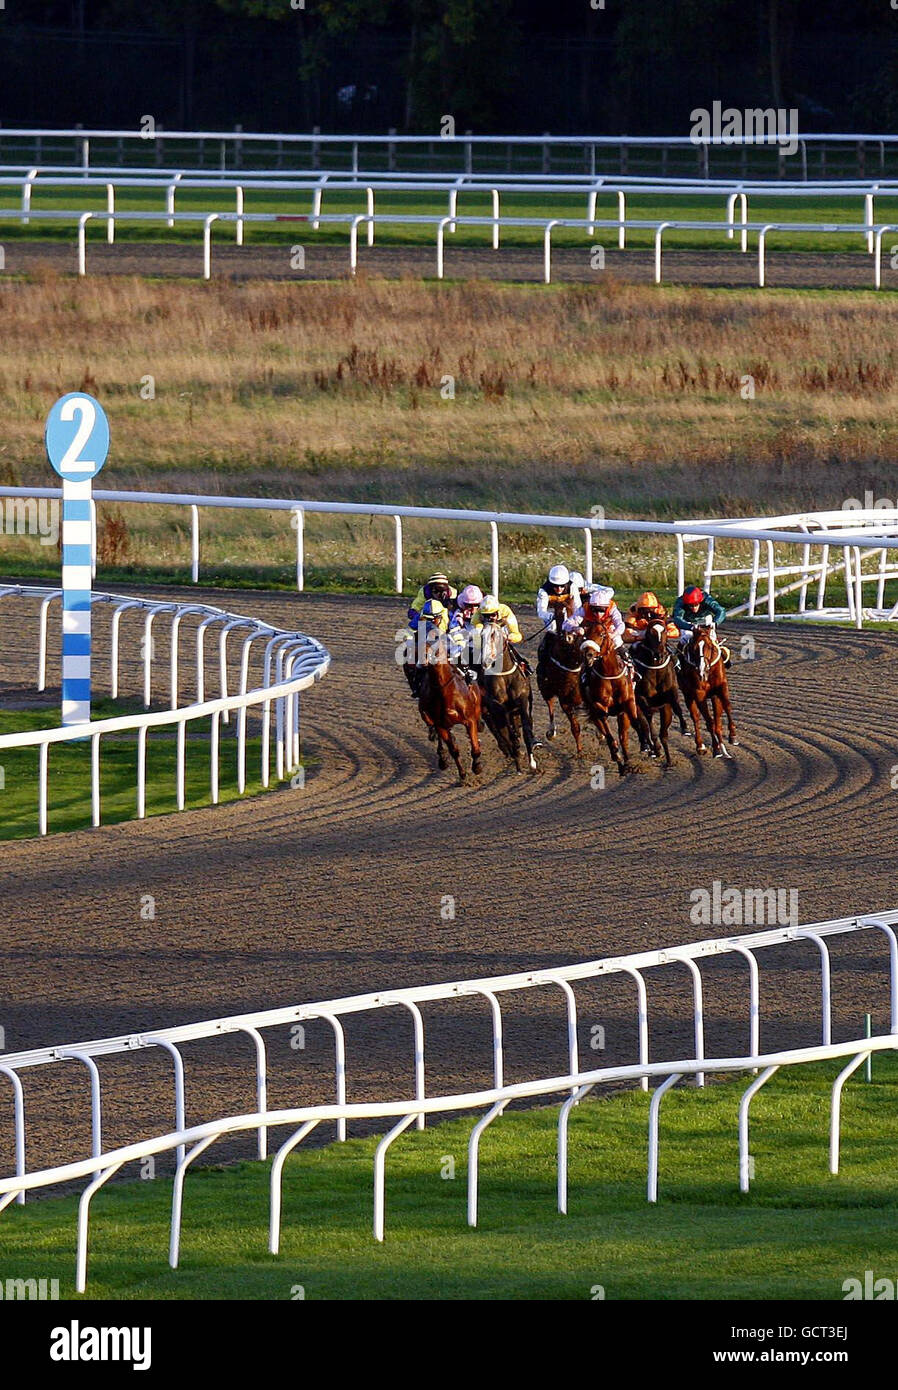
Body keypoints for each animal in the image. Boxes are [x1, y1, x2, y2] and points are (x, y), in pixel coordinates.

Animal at [581, 628, 650, 778]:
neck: (609, 674)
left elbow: (635, 724)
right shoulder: (597, 706)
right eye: (584, 632)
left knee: (623, 737)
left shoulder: (628, 703)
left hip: (622, 715)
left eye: (602, 634)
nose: (588, 655)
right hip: (596, 714)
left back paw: (627, 762)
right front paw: (616, 755)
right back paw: (619, 760)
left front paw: (645, 745)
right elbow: (607, 730)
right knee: (607, 733)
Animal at [678, 622, 745, 761]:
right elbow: (709, 722)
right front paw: (715, 749)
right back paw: (701, 747)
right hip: (688, 695)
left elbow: (727, 707)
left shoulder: (721, 688)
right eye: (694, 648)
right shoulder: (699, 694)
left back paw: (724, 749)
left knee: (717, 721)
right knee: (696, 718)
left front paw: (733, 736)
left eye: (709, 646)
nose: (702, 669)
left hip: (714, 697)